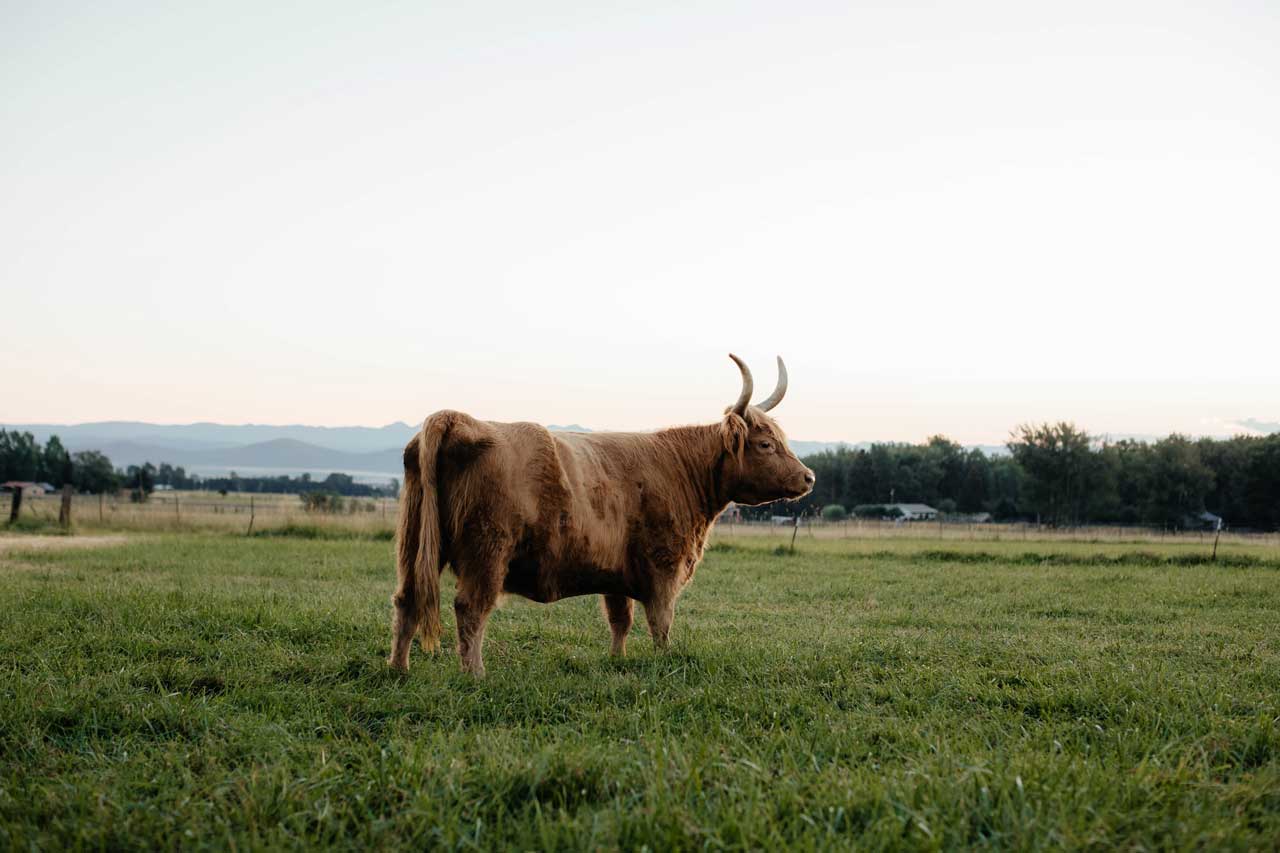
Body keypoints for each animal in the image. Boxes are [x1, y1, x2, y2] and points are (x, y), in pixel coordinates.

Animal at [384, 350, 814, 671]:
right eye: (765, 444)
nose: (808, 477)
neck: (682, 470)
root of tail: (457, 418)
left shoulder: (617, 573)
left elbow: (620, 619)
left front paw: (616, 661)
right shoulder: (664, 566)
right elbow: (661, 623)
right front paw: (663, 661)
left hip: (414, 543)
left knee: (407, 600)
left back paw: (398, 669)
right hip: (487, 550)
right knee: (470, 609)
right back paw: (475, 675)